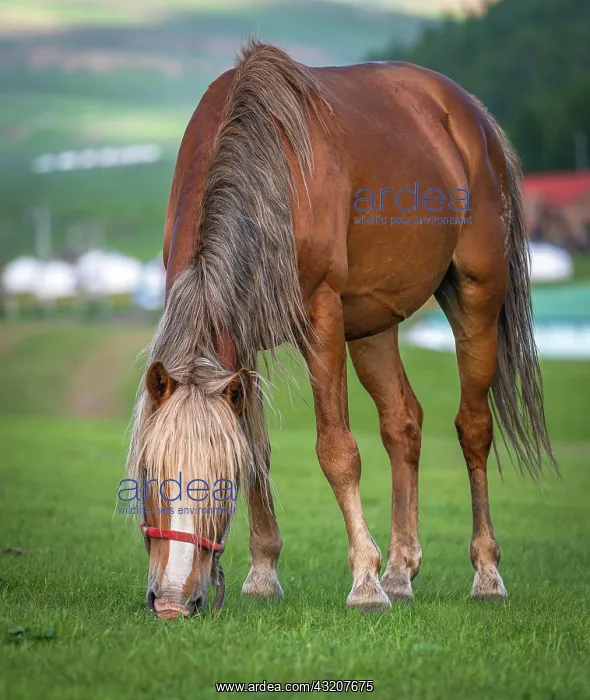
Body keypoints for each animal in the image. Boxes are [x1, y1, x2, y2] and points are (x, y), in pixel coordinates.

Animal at [127, 39, 556, 620]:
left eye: (219, 481)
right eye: (150, 474)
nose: (171, 600)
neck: (269, 165)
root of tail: (470, 115)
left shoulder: (321, 319)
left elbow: (338, 451)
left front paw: (365, 582)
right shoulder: (239, 342)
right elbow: (258, 447)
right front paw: (264, 571)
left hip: (477, 298)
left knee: (473, 428)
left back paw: (484, 573)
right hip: (373, 326)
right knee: (403, 423)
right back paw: (401, 570)